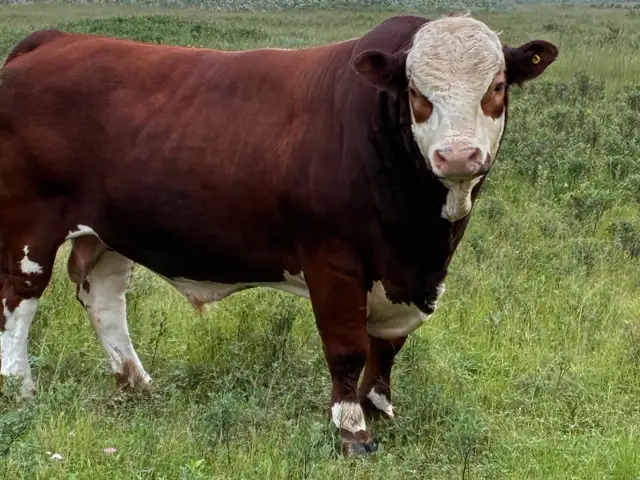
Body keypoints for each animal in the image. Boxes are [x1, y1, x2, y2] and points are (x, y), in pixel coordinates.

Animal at [0, 14, 557, 454]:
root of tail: (54, 39)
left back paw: (137, 383)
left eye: (497, 87)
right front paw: (352, 428)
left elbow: (388, 346)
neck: (420, 238)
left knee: (104, 296)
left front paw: (379, 407)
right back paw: (19, 390)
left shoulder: (405, 275)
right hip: (30, 224)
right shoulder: (333, 262)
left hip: (113, 229)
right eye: (418, 94)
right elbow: (347, 348)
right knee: (18, 300)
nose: (458, 155)